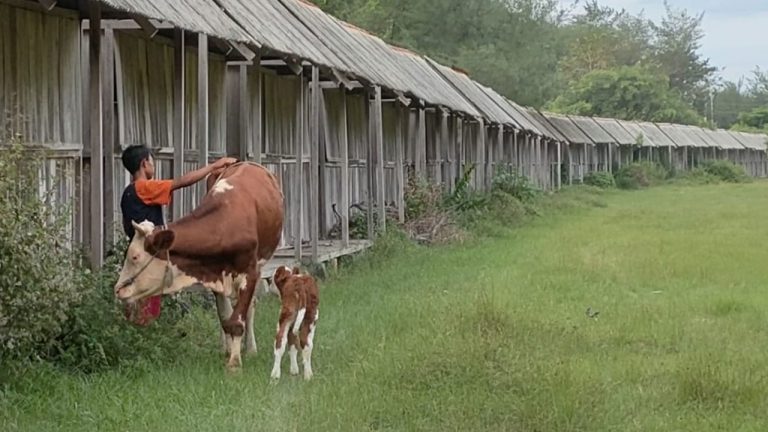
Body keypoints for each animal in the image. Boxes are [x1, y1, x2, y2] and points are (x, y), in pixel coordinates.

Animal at [112, 160, 284, 370]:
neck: (225, 224)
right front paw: (228, 352)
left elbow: (238, 319)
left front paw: (235, 363)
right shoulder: (214, 273)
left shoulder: (250, 273)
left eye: (135, 257)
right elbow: (225, 316)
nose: (118, 289)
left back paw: (250, 348)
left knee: (251, 306)